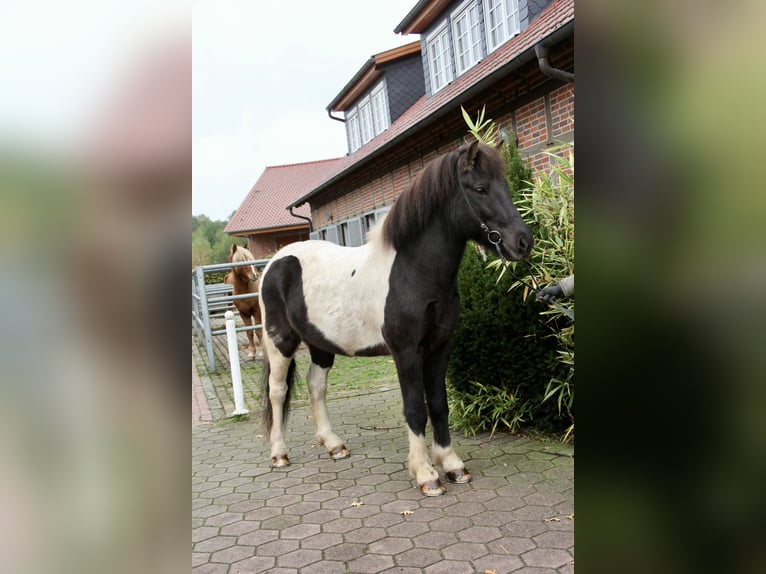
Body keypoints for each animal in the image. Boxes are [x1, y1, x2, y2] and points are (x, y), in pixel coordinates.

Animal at [258, 139, 533, 496]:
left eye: (506, 186)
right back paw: (279, 454)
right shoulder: (406, 352)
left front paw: (452, 465)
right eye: (481, 189)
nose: (523, 242)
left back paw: (334, 446)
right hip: (280, 341)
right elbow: (415, 408)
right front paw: (426, 475)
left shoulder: (440, 347)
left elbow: (439, 404)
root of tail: (275, 261)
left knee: (315, 386)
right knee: (277, 391)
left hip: (321, 344)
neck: (413, 271)